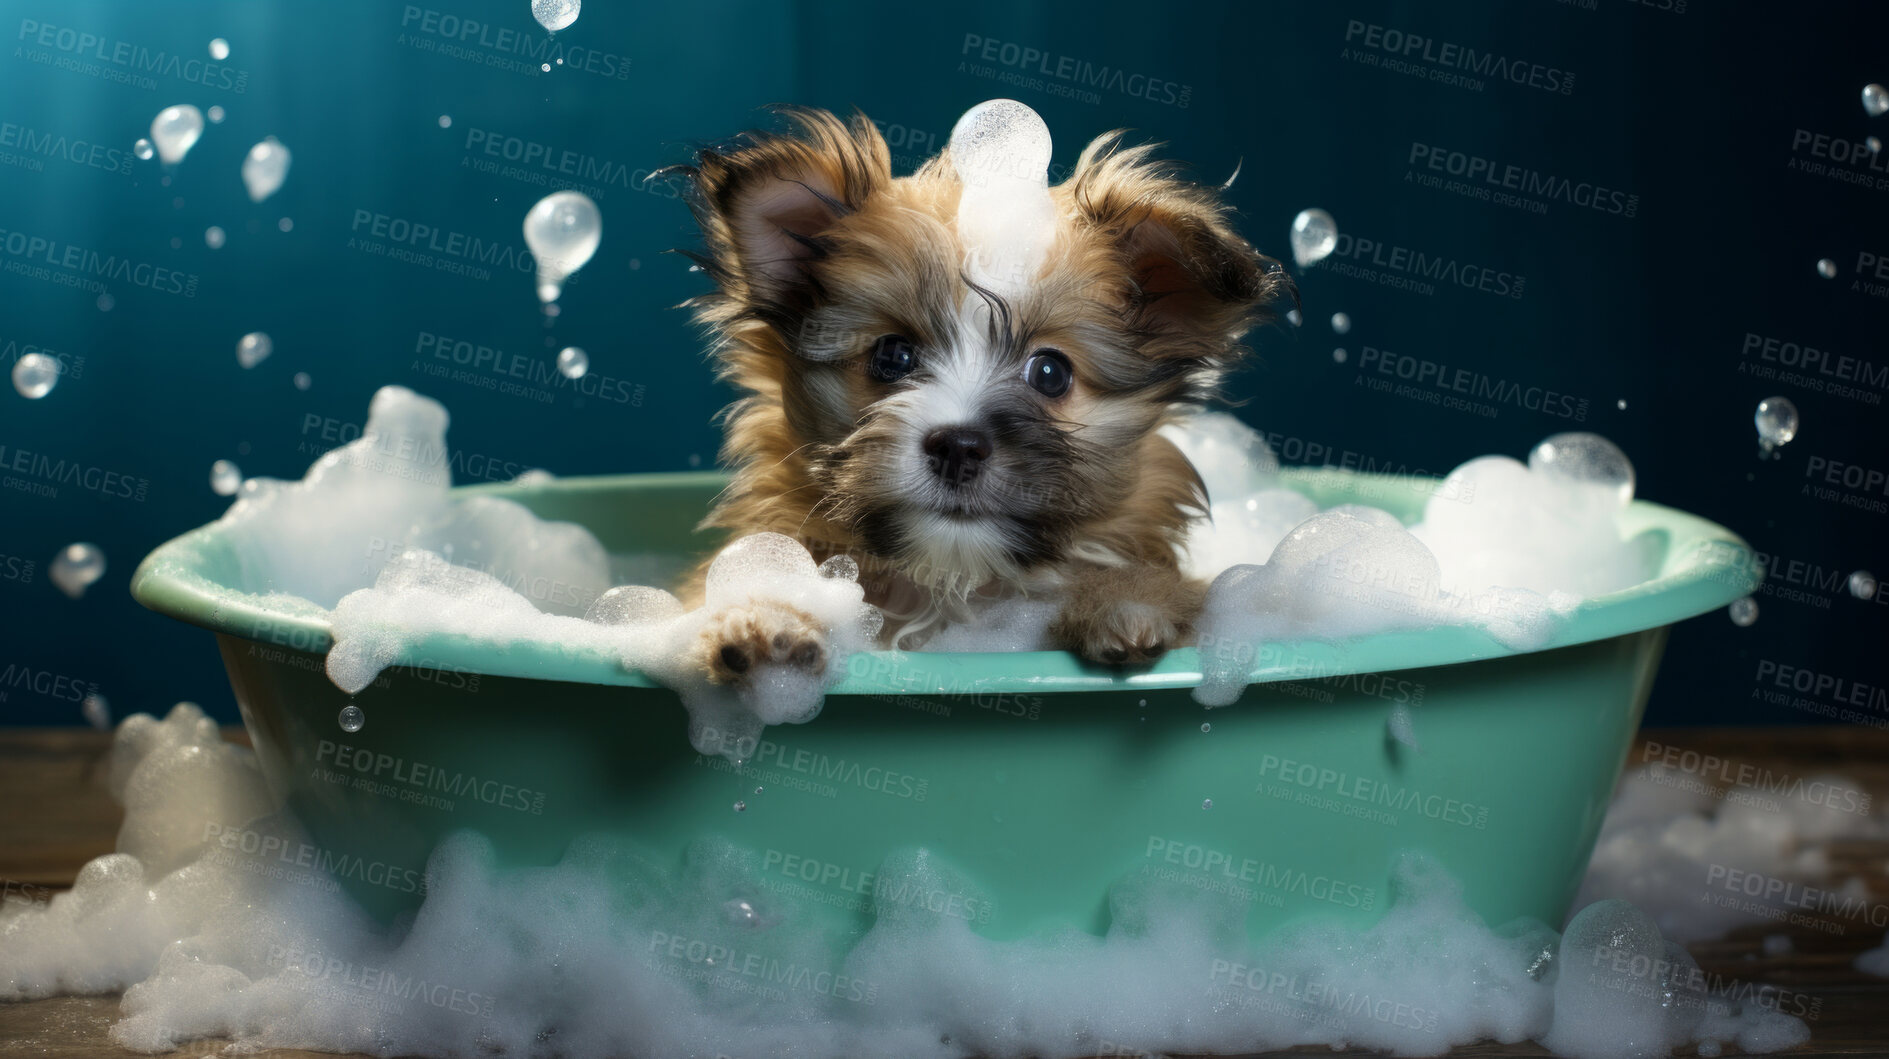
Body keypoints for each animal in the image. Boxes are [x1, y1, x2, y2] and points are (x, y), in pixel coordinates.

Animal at [664, 105, 1299, 687]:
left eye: (1050, 373)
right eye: (892, 356)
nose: (958, 446)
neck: (952, 588)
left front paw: (1125, 602)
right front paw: (765, 615)